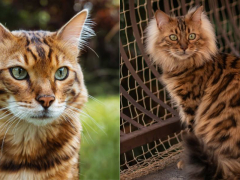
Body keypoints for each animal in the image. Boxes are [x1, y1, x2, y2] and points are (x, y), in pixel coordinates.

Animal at [146, 5, 240, 180]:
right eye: (173, 37)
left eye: (192, 36)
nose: (184, 47)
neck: (183, 64)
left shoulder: (191, 103)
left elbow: (191, 132)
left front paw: (185, 161)